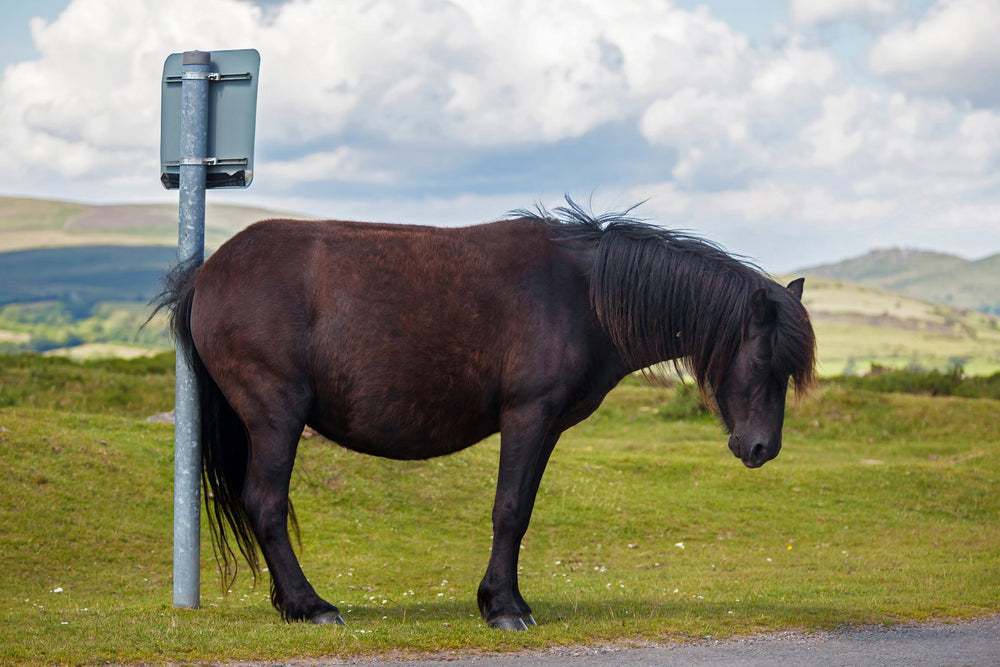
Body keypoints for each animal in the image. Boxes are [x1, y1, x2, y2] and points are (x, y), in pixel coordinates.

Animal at [154, 199, 816, 631]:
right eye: (763, 359)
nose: (762, 448)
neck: (582, 294)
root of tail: (208, 272)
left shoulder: (546, 427)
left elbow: (520, 512)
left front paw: (502, 599)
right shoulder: (527, 415)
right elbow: (510, 510)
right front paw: (504, 607)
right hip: (275, 417)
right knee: (265, 503)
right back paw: (311, 606)